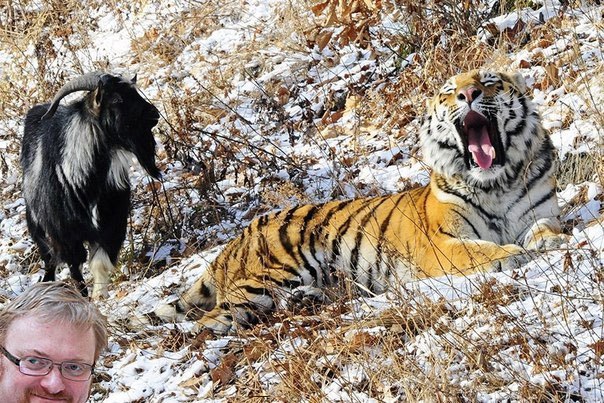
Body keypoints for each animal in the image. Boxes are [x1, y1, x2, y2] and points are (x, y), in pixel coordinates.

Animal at [22, 72, 162, 298]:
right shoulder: (64, 232)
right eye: (116, 99)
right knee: (49, 259)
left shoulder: (111, 224)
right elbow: (74, 265)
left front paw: (99, 295)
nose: (154, 114)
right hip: (38, 227)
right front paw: (83, 295)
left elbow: (99, 261)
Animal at [153, 70, 564, 334]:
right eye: (450, 91)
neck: (497, 182)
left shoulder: (540, 210)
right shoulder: (440, 243)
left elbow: (545, 227)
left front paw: (550, 241)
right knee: (207, 322)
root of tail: (237, 237)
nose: (468, 95)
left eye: (488, 83)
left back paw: (305, 301)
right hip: (270, 276)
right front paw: (511, 254)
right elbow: (476, 249)